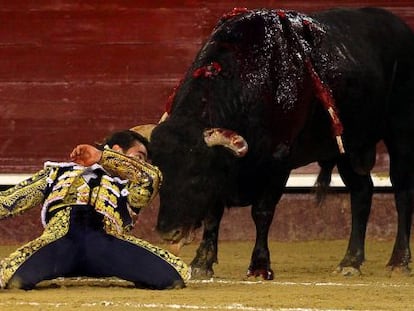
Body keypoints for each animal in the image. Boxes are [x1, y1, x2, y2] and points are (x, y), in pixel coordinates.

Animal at [140, 7, 414, 280]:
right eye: (160, 174)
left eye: (197, 176)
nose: (168, 231)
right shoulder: (223, 172)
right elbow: (213, 213)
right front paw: (202, 263)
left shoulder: (278, 163)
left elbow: (262, 211)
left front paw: (260, 266)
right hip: (348, 148)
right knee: (362, 192)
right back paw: (350, 261)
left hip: (401, 133)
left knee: (401, 191)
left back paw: (399, 261)